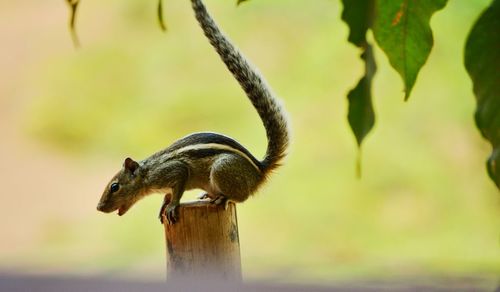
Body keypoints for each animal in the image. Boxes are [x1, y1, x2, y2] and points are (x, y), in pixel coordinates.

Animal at [95, 0, 290, 225]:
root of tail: (259, 170)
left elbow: (177, 188)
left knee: (241, 197)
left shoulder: (176, 171)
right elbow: (168, 193)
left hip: (222, 170)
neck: (148, 172)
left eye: (115, 186)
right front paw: (164, 204)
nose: (99, 207)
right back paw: (208, 195)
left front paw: (171, 206)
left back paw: (223, 198)